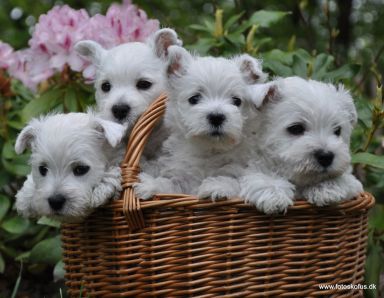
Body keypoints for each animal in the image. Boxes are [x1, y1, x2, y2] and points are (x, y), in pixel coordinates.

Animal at [240, 75, 364, 213]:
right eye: (296, 128)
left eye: (337, 130)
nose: (326, 156)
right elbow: (260, 175)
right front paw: (273, 191)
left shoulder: (354, 185)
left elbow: (347, 181)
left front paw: (327, 187)